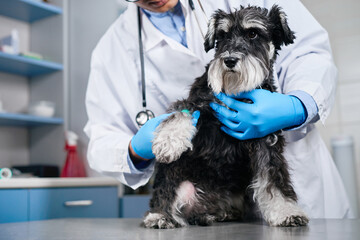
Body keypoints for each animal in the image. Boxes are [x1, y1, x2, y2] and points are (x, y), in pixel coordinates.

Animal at [143, 4, 310, 228]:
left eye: (253, 33)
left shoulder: (267, 140)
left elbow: (274, 180)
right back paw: (160, 215)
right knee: (166, 188)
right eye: (222, 35)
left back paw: (222, 213)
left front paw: (287, 212)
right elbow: (180, 114)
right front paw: (168, 141)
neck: (236, 90)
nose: (229, 60)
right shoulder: (198, 103)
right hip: (176, 176)